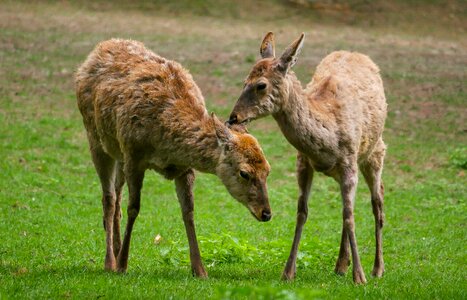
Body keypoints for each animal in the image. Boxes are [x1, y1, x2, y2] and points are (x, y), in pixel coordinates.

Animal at [75, 38, 272, 278]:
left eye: (268, 170)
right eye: (244, 173)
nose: (266, 213)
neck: (166, 142)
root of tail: (99, 48)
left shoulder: (184, 168)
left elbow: (188, 211)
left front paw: (199, 270)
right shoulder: (134, 155)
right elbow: (134, 208)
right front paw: (123, 265)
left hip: (118, 152)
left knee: (117, 194)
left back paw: (117, 246)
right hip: (95, 137)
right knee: (109, 198)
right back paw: (110, 260)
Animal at [229, 32, 388, 284]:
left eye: (261, 84)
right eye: (244, 81)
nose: (233, 117)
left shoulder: (350, 160)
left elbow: (349, 215)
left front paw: (360, 276)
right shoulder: (302, 161)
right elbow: (303, 211)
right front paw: (288, 272)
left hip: (375, 150)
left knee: (377, 200)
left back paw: (377, 268)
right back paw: (341, 265)